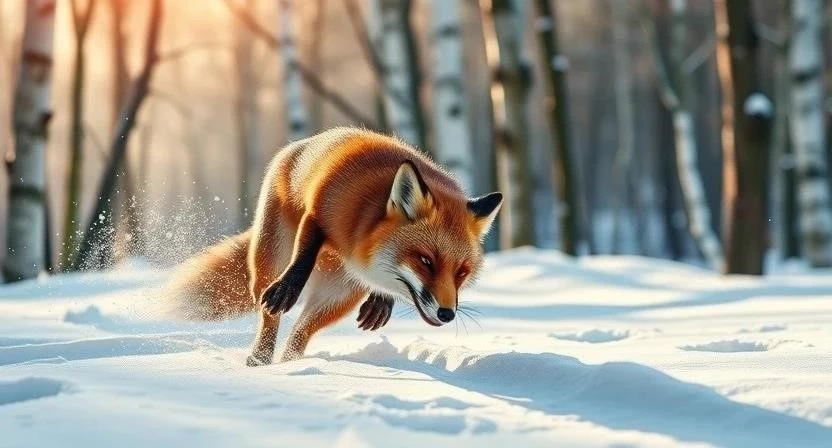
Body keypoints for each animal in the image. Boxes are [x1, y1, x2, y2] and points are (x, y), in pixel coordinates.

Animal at [165, 127, 502, 365]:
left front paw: (383, 298)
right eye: (426, 260)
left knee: (300, 334)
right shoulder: (319, 211)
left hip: (337, 297)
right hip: (269, 260)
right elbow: (304, 254)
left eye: (461, 273)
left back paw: (291, 366)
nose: (446, 314)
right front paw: (288, 287)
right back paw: (261, 361)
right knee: (270, 318)